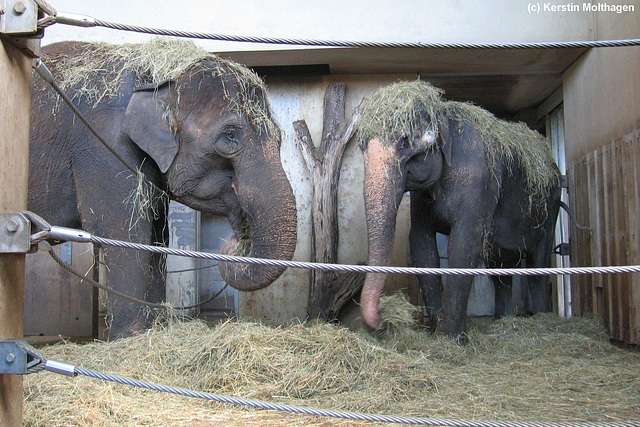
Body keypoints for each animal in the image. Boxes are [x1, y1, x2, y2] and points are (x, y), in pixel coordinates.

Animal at [28, 41, 298, 342]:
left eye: (280, 138)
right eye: (230, 135)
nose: (233, 243)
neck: (158, 74)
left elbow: (157, 236)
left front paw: (155, 328)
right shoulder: (102, 140)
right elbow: (123, 228)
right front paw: (129, 339)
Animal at [358, 82, 564, 340]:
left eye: (404, 141)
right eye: (361, 146)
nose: (381, 320)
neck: (442, 112)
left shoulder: (478, 180)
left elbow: (463, 244)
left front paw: (449, 340)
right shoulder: (422, 198)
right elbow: (421, 243)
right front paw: (435, 331)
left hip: (550, 209)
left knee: (538, 265)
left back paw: (541, 320)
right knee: (501, 271)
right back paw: (503, 322)